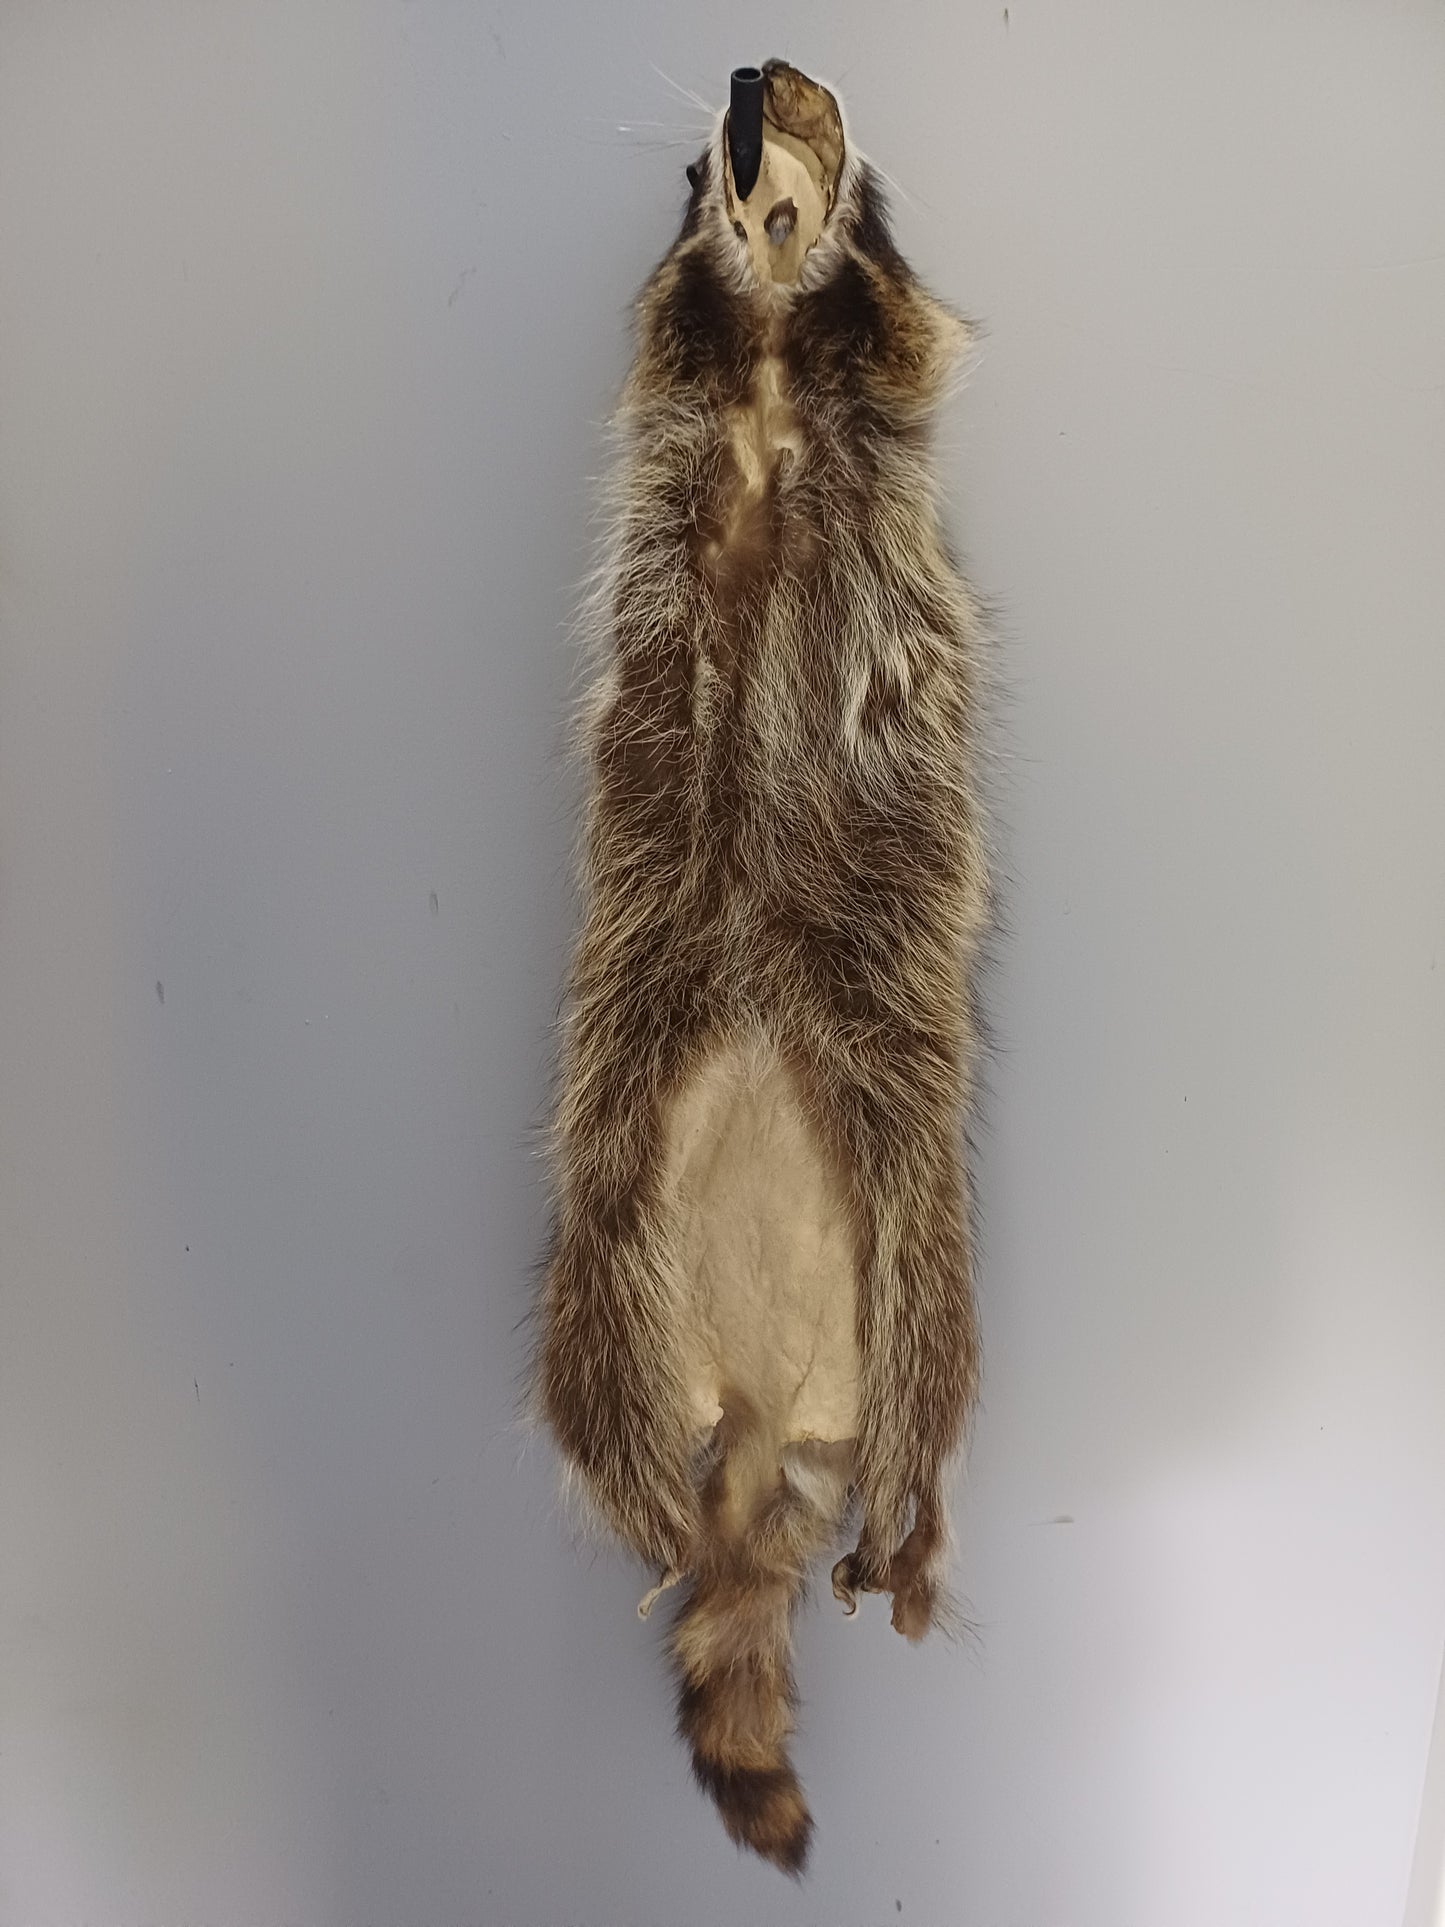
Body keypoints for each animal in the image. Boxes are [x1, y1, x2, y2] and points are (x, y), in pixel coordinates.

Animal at [535, 59, 991, 1873]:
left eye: (808, 93)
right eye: (744, 103)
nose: (748, 77)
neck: (774, 377)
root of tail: (744, 1422)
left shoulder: (877, 369)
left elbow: (899, 321)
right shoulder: (687, 381)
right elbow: (679, 318)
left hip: (907, 1181)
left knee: (930, 1367)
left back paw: (908, 1524)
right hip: (611, 1158)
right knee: (594, 1363)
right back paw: (653, 1501)